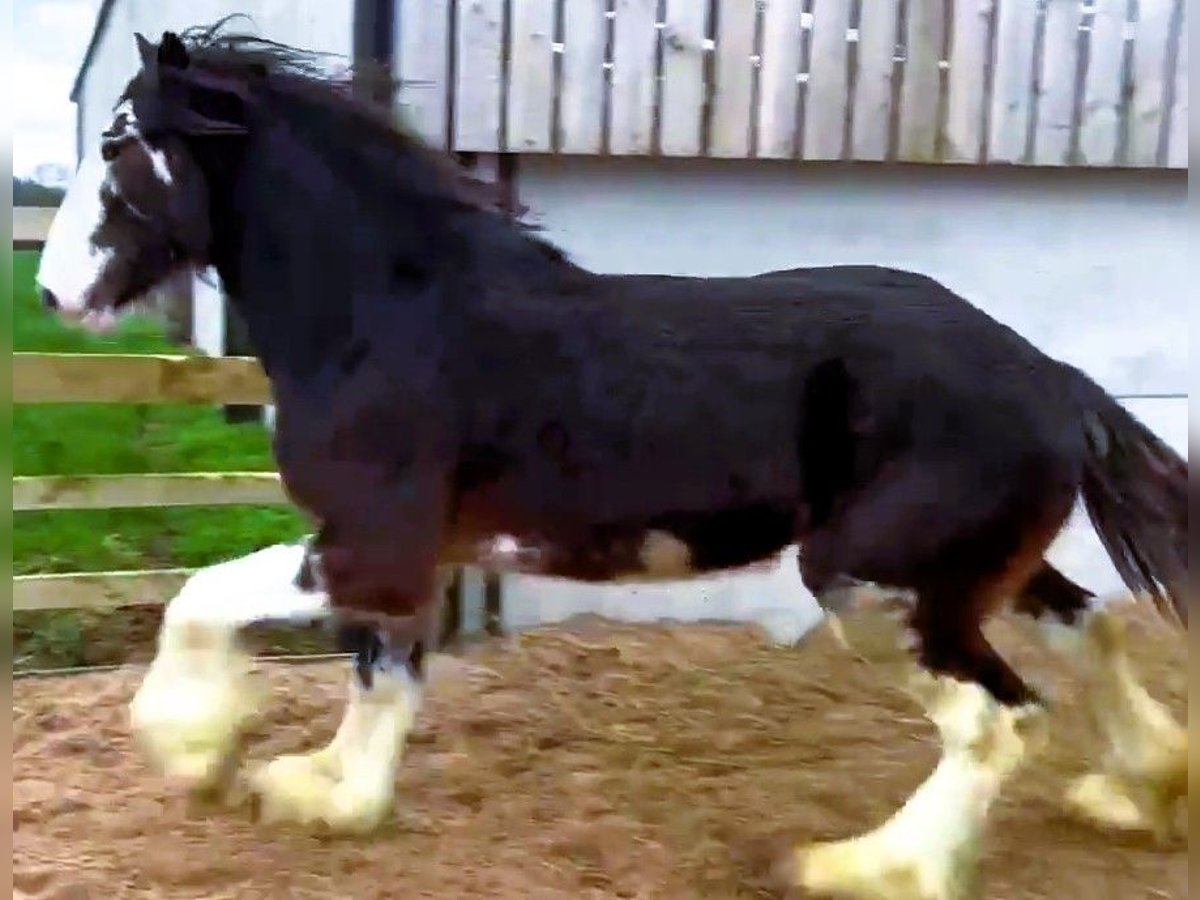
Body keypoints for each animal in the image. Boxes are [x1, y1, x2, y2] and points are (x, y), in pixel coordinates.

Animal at [32, 22, 1185, 900]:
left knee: (996, 721)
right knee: (1092, 628)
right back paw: (1141, 791)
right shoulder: (414, 560)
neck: (383, 320)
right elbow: (383, 681)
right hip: (968, 574)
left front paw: (193, 750)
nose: (52, 293)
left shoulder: (369, 545)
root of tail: (1051, 376)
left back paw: (866, 866)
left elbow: (202, 599)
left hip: (874, 581)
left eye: (120, 144)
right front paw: (330, 796)